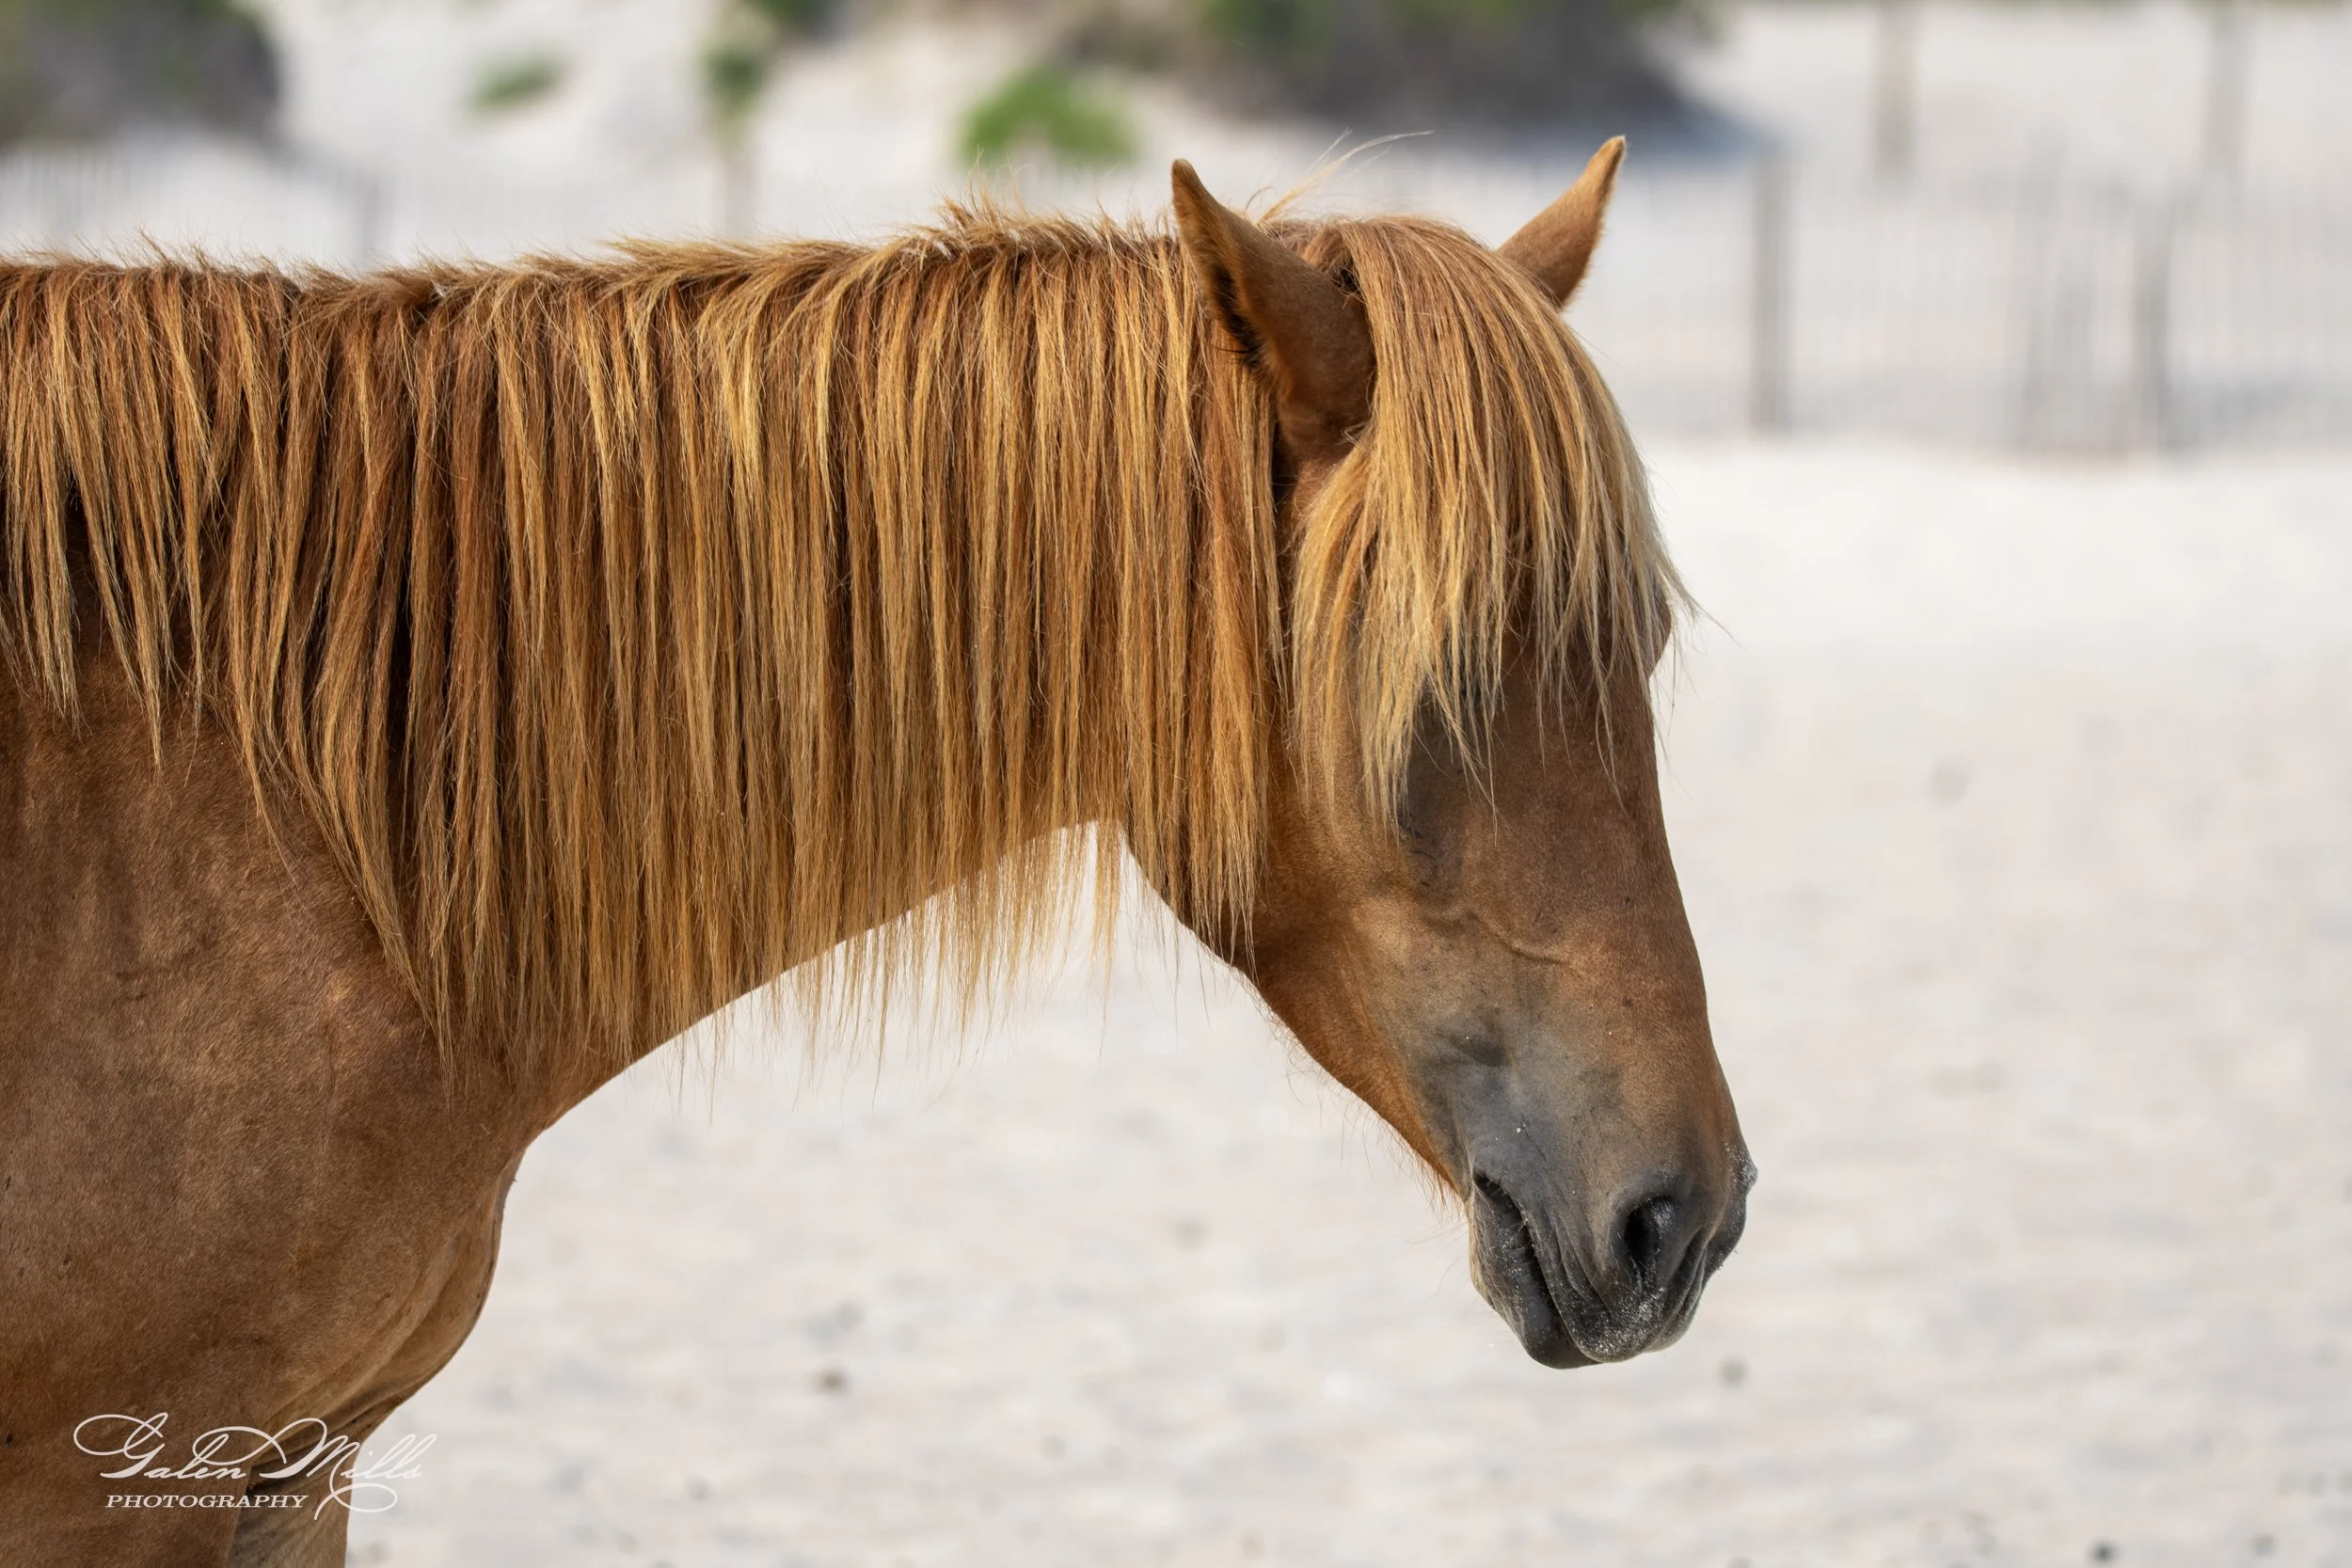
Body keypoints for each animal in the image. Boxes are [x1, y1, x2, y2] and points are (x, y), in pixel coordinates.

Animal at [0, 138, 1750, 1566]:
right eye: (1426, 680)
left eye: (1645, 649)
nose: (1684, 1219)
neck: (296, 816)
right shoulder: (126, 1483)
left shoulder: (295, 1469)